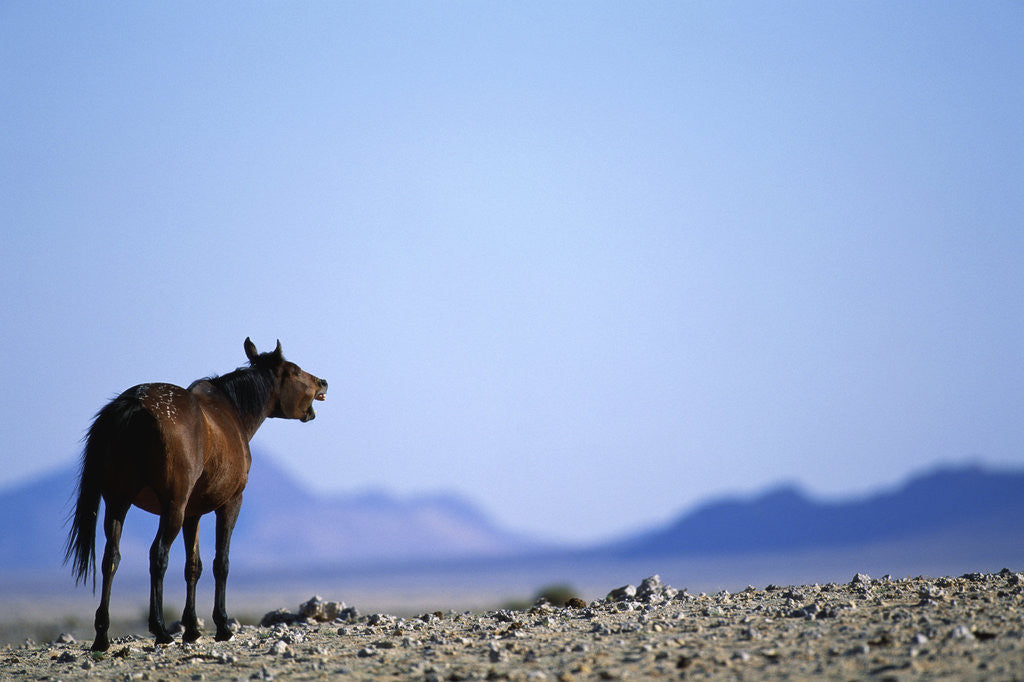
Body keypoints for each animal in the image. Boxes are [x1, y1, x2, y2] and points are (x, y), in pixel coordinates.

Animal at [65, 338, 327, 651]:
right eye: (295, 370)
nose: (323, 382)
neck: (232, 412)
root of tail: (132, 404)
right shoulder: (230, 503)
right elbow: (220, 563)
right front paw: (222, 625)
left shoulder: (194, 512)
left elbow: (193, 566)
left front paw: (191, 628)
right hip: (171, 508)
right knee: (157, 555)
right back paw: (160, 630)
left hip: (119, 503)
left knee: (111, 558)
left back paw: (102, 636)